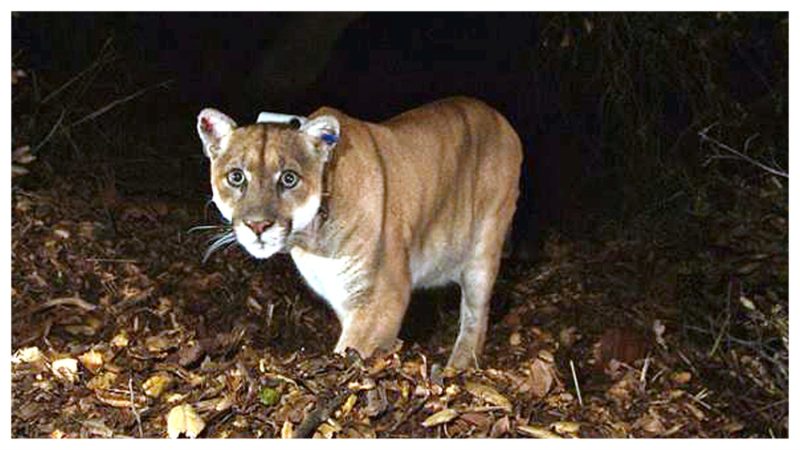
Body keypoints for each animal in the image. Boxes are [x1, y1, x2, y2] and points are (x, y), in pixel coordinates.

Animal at [198, 96, 524, 368]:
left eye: (289, 179)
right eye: (236, 177)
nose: (258, 225)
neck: (312, 241)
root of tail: (500, 118)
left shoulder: (383, 296)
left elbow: (350, 350)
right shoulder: (345, 297)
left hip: (483, 249)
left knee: (476, 317)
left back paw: (458, 366)